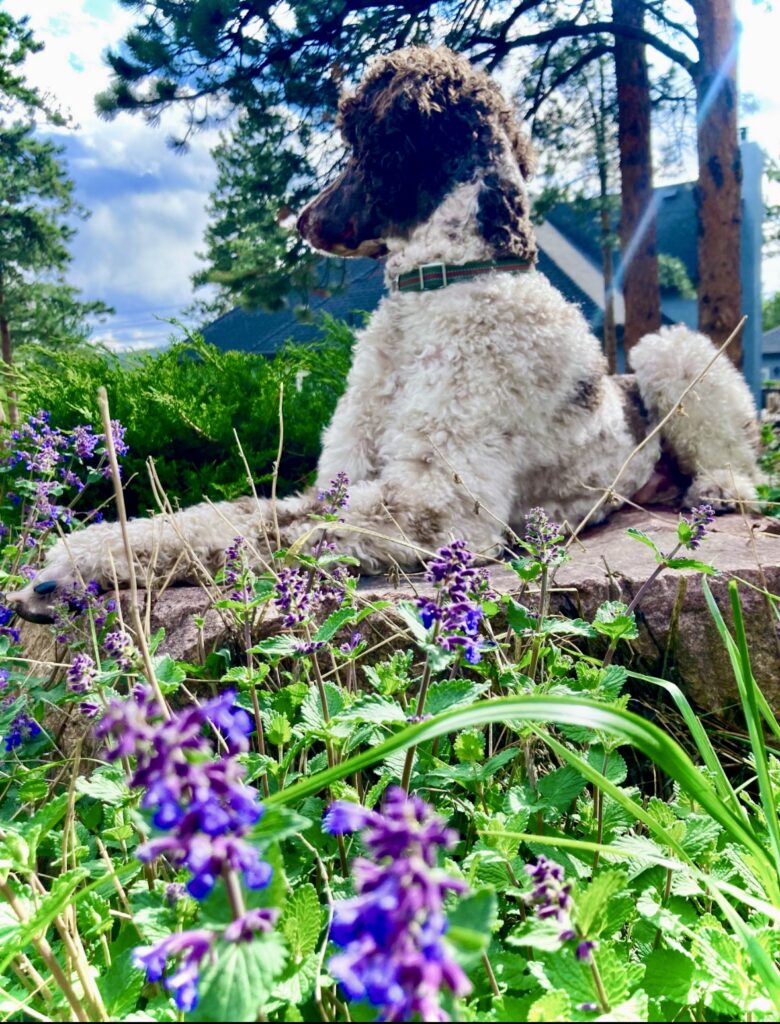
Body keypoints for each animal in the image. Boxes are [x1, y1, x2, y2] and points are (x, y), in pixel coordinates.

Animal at [9, 49, 757, 622]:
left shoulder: (440, 502)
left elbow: (275, 534)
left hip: (669, 350)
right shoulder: (340, 480)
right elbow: (230, 514)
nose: (302, 219)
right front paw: (77, 562)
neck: (435, 290)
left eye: (358, 143)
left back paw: (718, 490)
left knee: (732, 451)